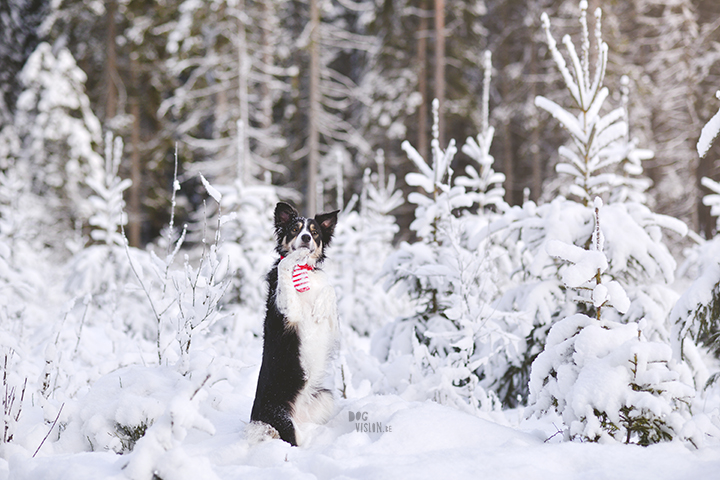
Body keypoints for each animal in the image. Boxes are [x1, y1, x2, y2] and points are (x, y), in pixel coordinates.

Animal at [248, 202, 340, 446]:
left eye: (315, 232)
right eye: (294, 229)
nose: (306, 238)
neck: (304, 270)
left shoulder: (332, 326)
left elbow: (331, 289)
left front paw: (320, 305)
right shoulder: (288, 313)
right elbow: (284, 268)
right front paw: (291, 259)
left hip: (325, 398)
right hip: (282, 419)